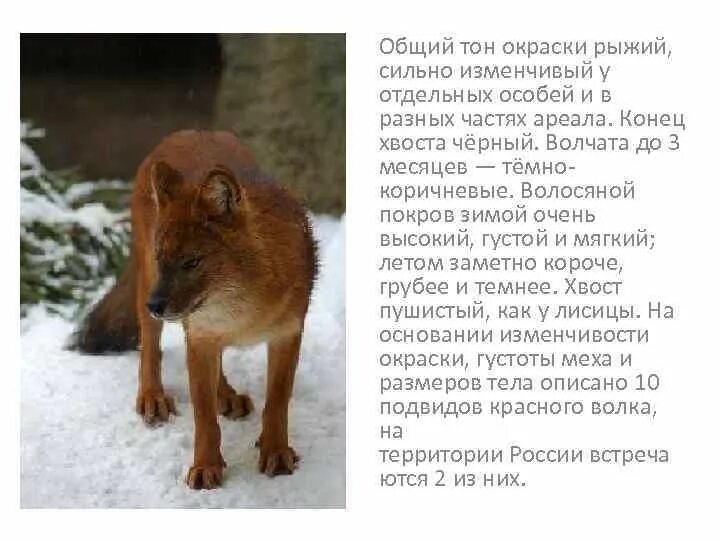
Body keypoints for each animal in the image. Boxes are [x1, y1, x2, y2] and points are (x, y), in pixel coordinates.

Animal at [72, 130, 317, 489]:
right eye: (163, 257)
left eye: (192, 262)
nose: (154, 305)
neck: (242, 308)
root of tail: (184, 133)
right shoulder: (200, 334)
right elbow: (204, 417)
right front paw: (205, 467)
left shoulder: (287, 334)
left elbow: (276, 401)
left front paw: (275, 451)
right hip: (148, 284)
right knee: (150, 347)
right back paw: (153, 397)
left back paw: (227, 395)